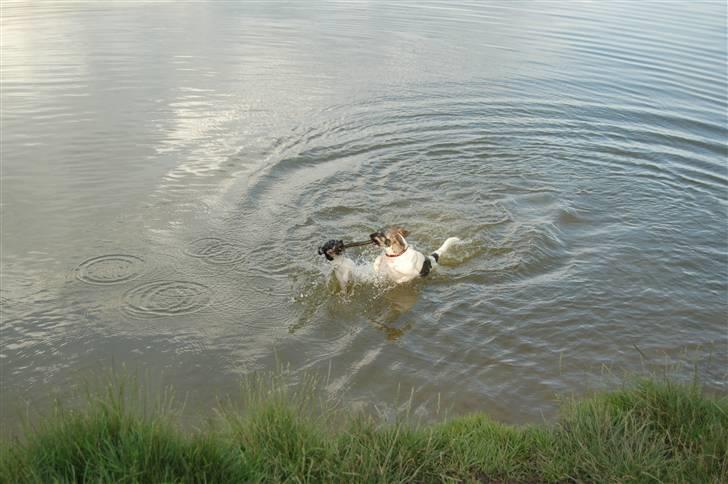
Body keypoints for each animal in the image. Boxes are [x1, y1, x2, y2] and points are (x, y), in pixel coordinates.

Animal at [318, 227, 458, 288]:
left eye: (381, 234)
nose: (369, 235)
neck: (395, 257)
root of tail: (431, 258)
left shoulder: (411, 273)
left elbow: (403, 277)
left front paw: (396, 280)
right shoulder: (385, 258)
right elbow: (380, 259)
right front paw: (376, 267)